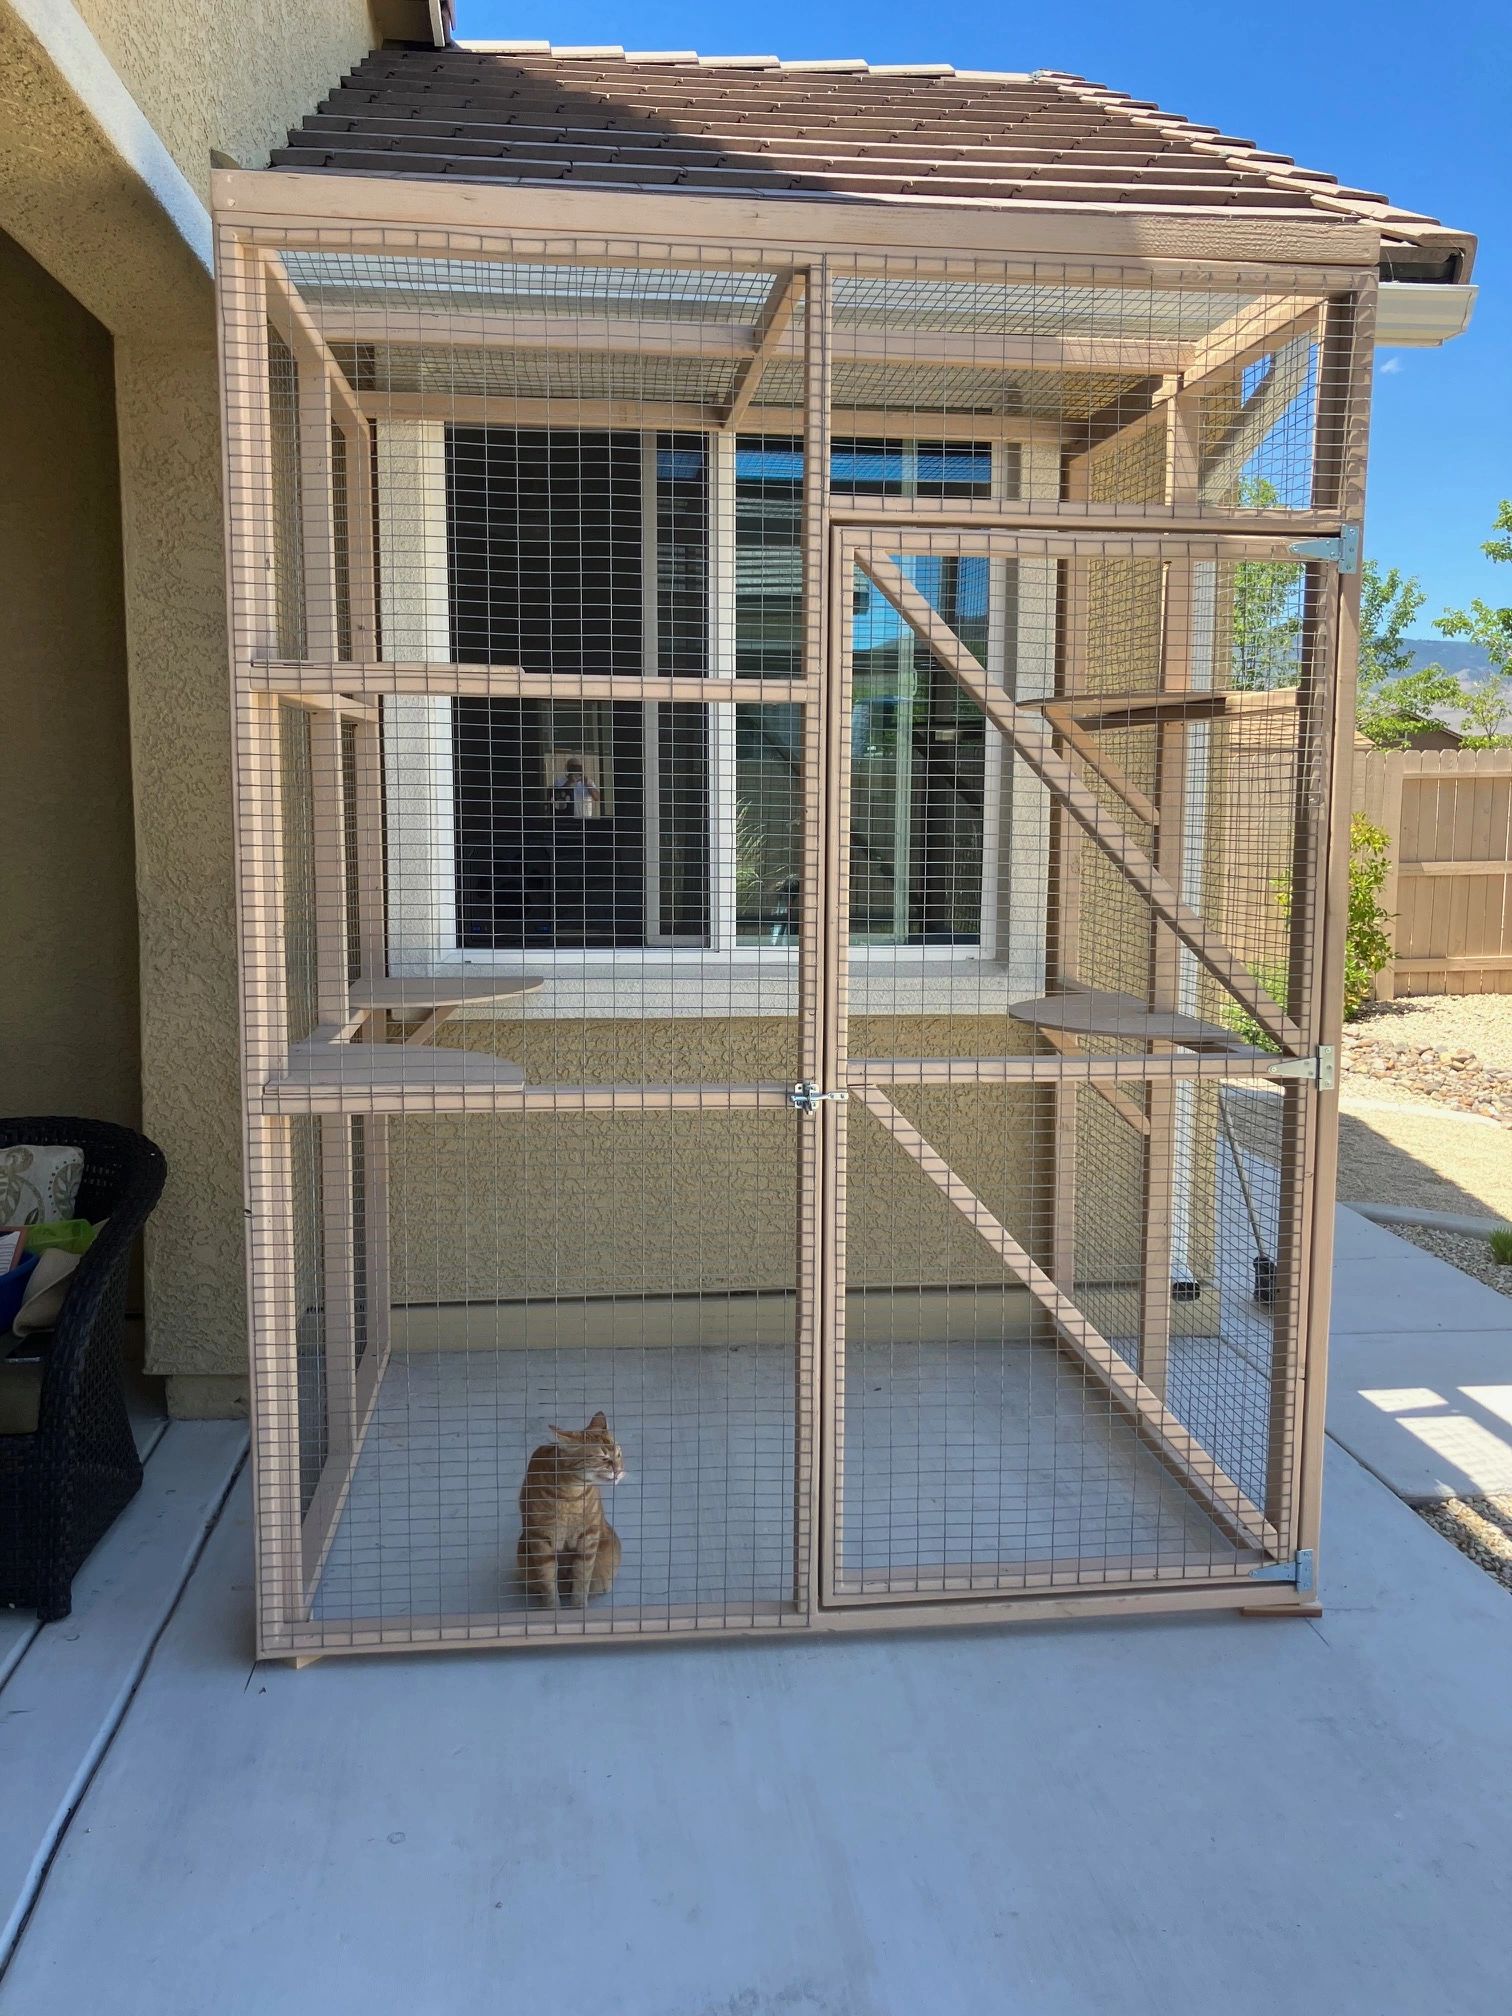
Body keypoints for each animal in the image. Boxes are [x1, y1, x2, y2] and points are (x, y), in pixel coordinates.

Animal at [516, 1419, 620, 1604]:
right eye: (603, 1458)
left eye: (619, 1454)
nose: (619, 1470)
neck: (571, 1495)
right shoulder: (540, 1537)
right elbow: (548, 1584)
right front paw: (553, 1607)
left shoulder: (589, 1536)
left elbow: (582, 1581)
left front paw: (578, 1607)